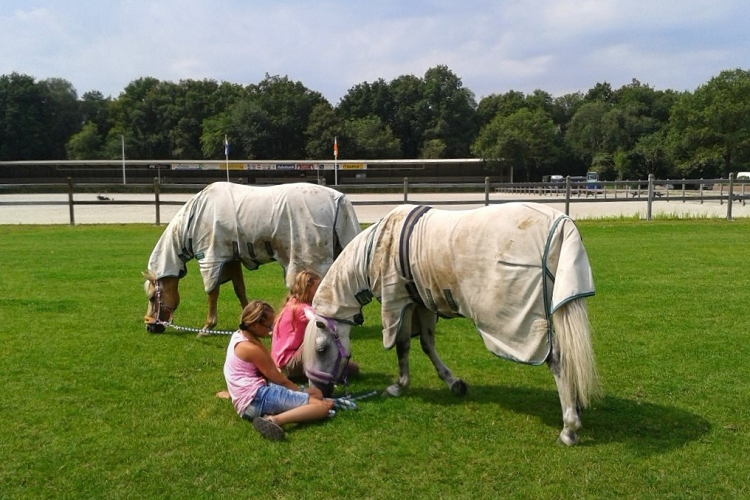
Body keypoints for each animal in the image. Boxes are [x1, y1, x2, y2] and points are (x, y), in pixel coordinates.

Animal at [146, 182, 362, 334]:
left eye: (151, 298)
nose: (150, 327)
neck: (195, 216)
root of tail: (339, 199)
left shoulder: (210, 259)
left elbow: (212, 293)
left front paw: (207, 328)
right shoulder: (231, 259)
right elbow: (240, 290)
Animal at [302, 203, 604, 446]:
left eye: (321, 349)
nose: (318, 392)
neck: (374, 249)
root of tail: (561, 224)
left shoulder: (399, 303)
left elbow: (402, 345)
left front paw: (399, 386)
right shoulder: (421, 303)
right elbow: (426, 344)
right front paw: (453, 382)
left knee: (558, 360)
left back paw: (569, 428)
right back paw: (577, 406)